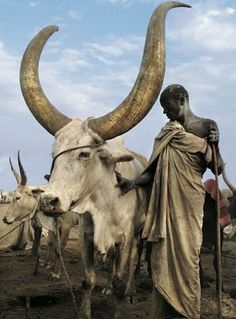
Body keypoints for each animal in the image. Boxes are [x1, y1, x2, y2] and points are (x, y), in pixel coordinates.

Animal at [19, 1, 191, 318]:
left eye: (85, 153)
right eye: (53, 152)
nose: (49, 201)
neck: (104, 200)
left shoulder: (126, 237)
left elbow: (123, 277)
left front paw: (122, 295)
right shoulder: (87, 235)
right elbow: (87, 280)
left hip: (139, 234)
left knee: (129, 266)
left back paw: (131, 290)